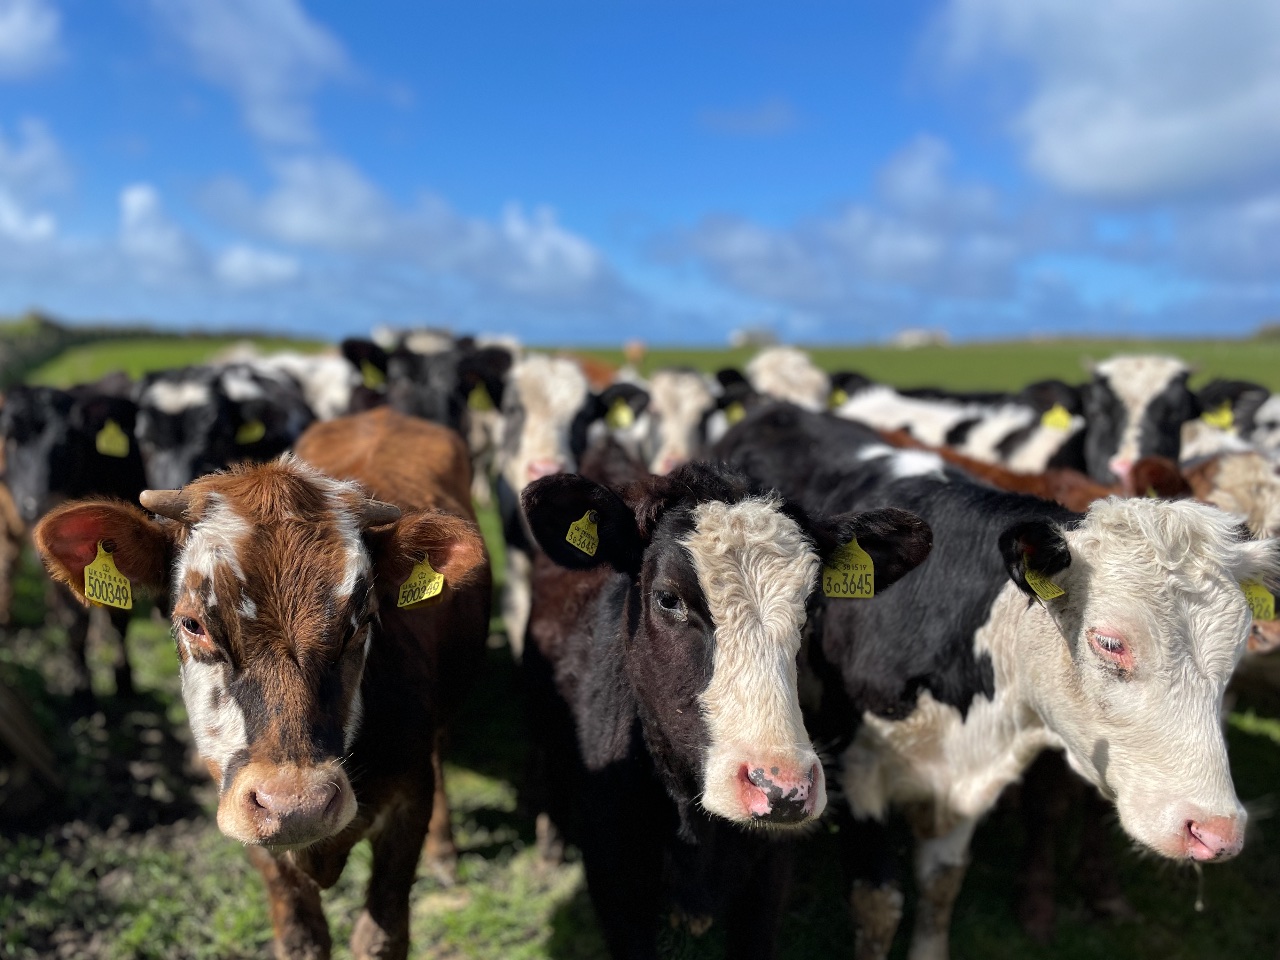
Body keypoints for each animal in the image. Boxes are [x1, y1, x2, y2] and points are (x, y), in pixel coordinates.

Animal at [0, 381, 148, 702]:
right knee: (9, 564)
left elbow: (118, 613)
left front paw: (124, 680)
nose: (34, 504)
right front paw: (81, 691)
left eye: (66, 444)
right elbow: (73, 620)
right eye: (11, 439)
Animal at [33, 407, 491, 960]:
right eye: (193, 623)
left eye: (361, 621)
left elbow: (380, 936)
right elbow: (300, 938)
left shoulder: (408, 805)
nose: (297, 805)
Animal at [715, 403, 1276, 960]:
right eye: (1110, 642)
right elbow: (880, 904)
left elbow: (941, 884)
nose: (1216, 830)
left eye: (1235, 652)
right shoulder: (857, 769)